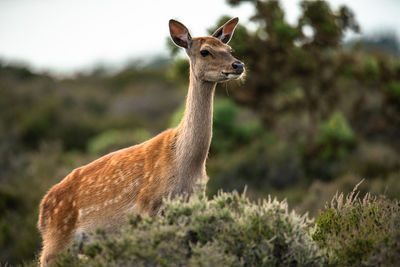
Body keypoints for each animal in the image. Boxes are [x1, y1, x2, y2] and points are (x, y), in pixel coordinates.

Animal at [37, 17, 244, 266]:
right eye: (205, 51)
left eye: (229, 49)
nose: (238, 65)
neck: (187, 165)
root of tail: (42, 211)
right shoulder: (148, 206)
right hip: (56, 240)